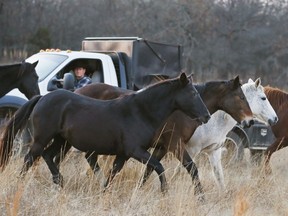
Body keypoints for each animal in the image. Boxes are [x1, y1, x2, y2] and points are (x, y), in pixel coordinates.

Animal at [0, 73, 210, 197]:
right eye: (193, 93)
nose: (206, 116)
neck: (140, 111)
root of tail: (43, 97)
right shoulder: (136, 151)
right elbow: (158, 166)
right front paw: (165, 192)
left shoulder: (124, 153)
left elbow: (114, 172)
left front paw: (103, 192)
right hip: (42, 138)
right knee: (29, 158)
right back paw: (20, 185)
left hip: (61, 140)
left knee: (48, 155)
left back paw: (59, 182)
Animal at [46, 75, 253, 197]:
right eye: (241, 97)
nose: (250, 121)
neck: (178, 110)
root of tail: (76, 90)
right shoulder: (175, 144)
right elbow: (191, 168)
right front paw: (199, 196)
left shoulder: (161, 147)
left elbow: (149, 170)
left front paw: (140, 189)